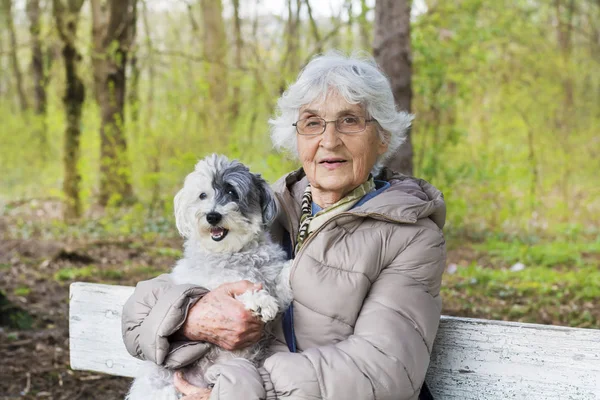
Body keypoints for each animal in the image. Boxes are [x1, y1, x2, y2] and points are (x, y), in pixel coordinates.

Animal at [126, 155, 292, 400]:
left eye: (232, 191)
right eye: (203, 195)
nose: (212, 216)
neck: (234, 253)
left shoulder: (273, 281)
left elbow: (281, 280)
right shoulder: (211, 287)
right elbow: (236, 288)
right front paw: (258, 301)